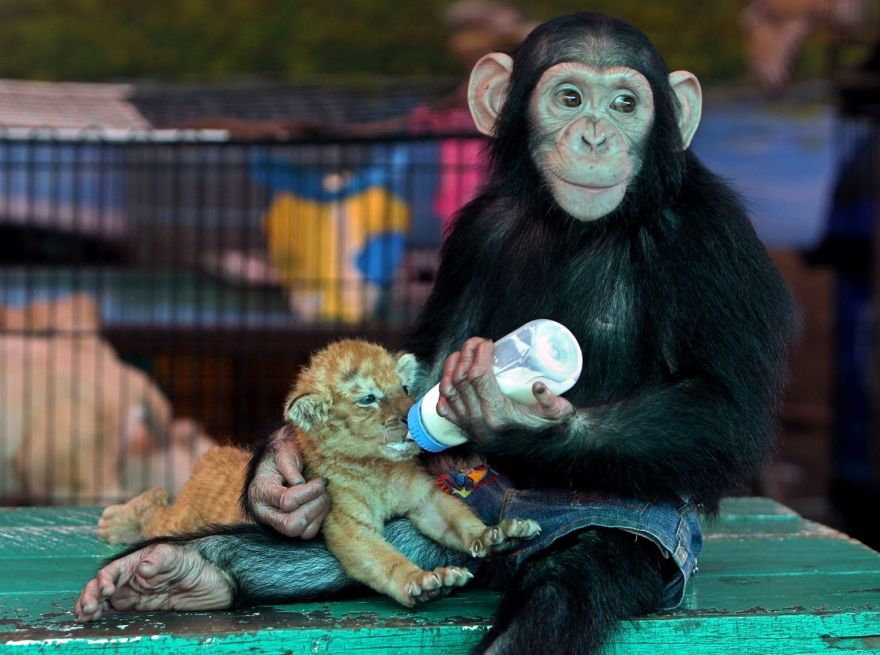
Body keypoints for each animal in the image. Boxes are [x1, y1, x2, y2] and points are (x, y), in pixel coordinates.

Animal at [72, 11, 796, 655]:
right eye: (569, 98)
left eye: (625, 103)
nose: (596, 135)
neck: (578, 225)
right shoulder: (477, 229)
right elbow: (433, 349)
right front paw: (277, 473)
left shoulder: (712, 239)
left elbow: (724, 409)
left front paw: (512, 416)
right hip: (443, 501)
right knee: (321, 553)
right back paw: (177, 570)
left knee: (565, 587)